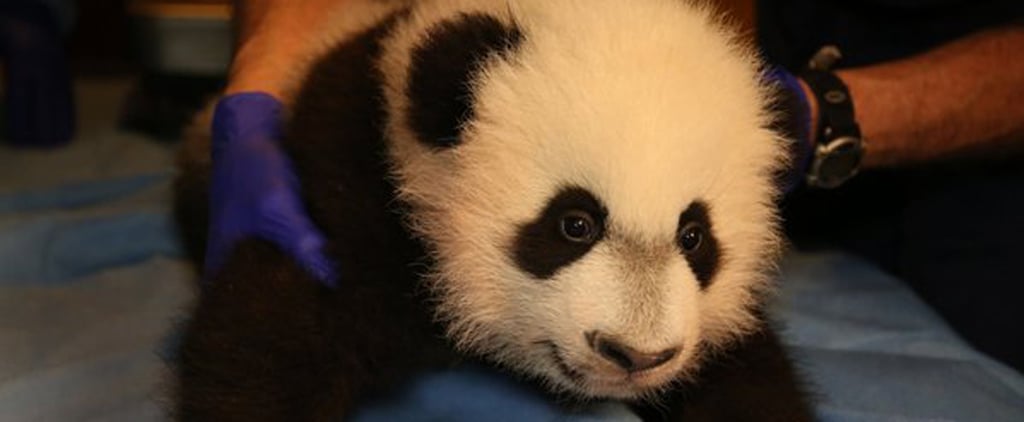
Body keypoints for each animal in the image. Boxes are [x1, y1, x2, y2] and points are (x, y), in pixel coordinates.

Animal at [173, 0, 813, 420]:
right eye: (574, 224)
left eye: (694, 236)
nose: (635, 355)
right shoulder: (349, 183)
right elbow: (272, 337)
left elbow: (747, 378)